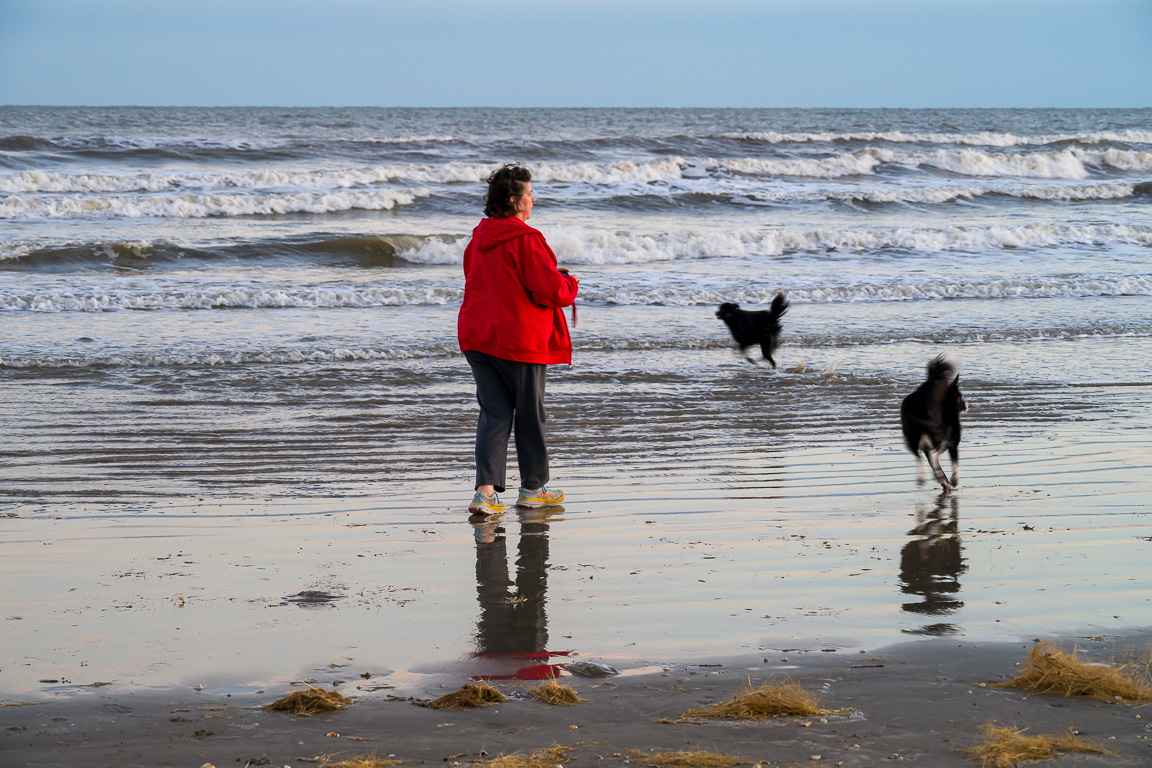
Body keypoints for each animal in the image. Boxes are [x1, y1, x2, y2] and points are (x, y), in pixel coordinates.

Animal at [893, 356, 967, 492]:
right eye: (960, 396)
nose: (967, 405)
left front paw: (944, 481)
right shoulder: (953, 441)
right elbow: (954, 463)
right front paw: (953, 480)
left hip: (913, 436)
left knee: (920, 456)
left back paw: (926, 478)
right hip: (936, 436)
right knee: (932, 455)